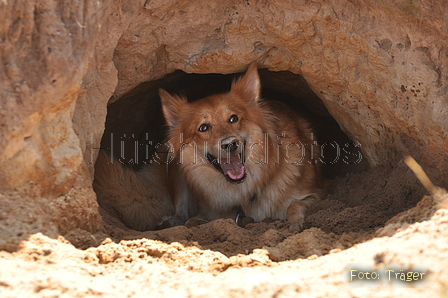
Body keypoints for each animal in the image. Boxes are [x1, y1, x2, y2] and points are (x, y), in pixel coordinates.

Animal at [94, 62, 324, 230]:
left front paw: (295, 223)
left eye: (233, 118)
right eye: (203, 127)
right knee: (179, 211)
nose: (230, 144)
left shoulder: (317, 193)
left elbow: (295, 205)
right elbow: (196, 218)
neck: (245, 190)